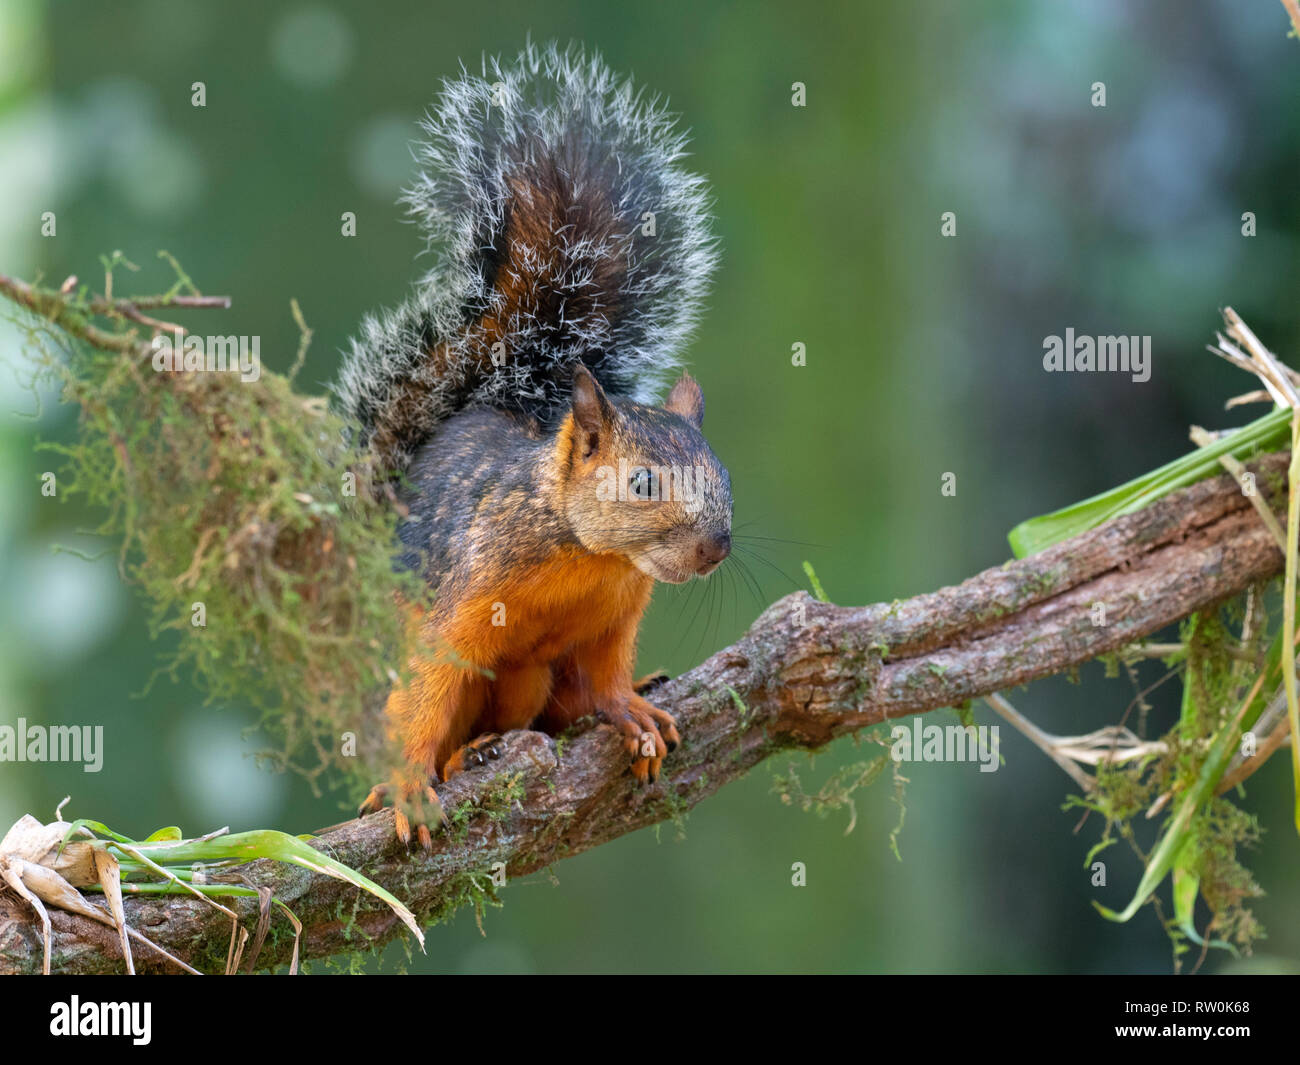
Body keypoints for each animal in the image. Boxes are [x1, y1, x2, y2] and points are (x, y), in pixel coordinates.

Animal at [338, 41, 733, 847]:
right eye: (643, 483)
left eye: (723, 476)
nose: (718, 547)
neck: (588, 556)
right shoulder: (463, 603)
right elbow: (428, 691)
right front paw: (407, 786)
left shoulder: (615, 618)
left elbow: (605, 671)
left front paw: (626, 706)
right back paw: (465, 756)